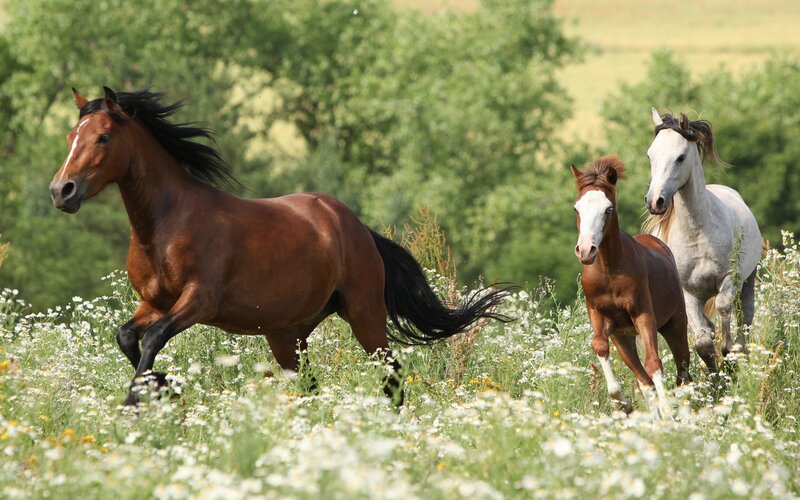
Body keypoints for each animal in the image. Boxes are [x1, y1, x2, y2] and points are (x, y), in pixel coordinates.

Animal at [49, 87, 510, 406]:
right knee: (311, 385)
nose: (61, 191)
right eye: (71, 135)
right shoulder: (154, 302)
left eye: (103, 137)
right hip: (288, 334)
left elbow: (152, 339)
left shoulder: (198, 301)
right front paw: (164, 385)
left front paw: (139, 398)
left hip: (364, 315)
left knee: (392, 376)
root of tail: (355, 226)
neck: (166, 225)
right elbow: (126, 336)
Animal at [571, 156, 690, 416]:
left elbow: (654, 363)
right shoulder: (601, 316)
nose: (585, 250)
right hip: (624, 338)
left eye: (608, 209)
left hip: (675, 324)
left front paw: (667, 412)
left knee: (683, 371)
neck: (609, 271)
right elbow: (599, 346)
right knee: (644, 380)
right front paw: (622, 403)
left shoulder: (643, 314)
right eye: (577, 208)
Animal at [644, 109, 762, 371]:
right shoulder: (687, 292)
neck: (697, 235)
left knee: (746, 319)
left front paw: (729, 356)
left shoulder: (730, 278)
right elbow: (703, 343)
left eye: (680, 157)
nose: (655, 201)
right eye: (650, 155)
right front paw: (716, 375)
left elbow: (723, 308)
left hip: (748, 280)